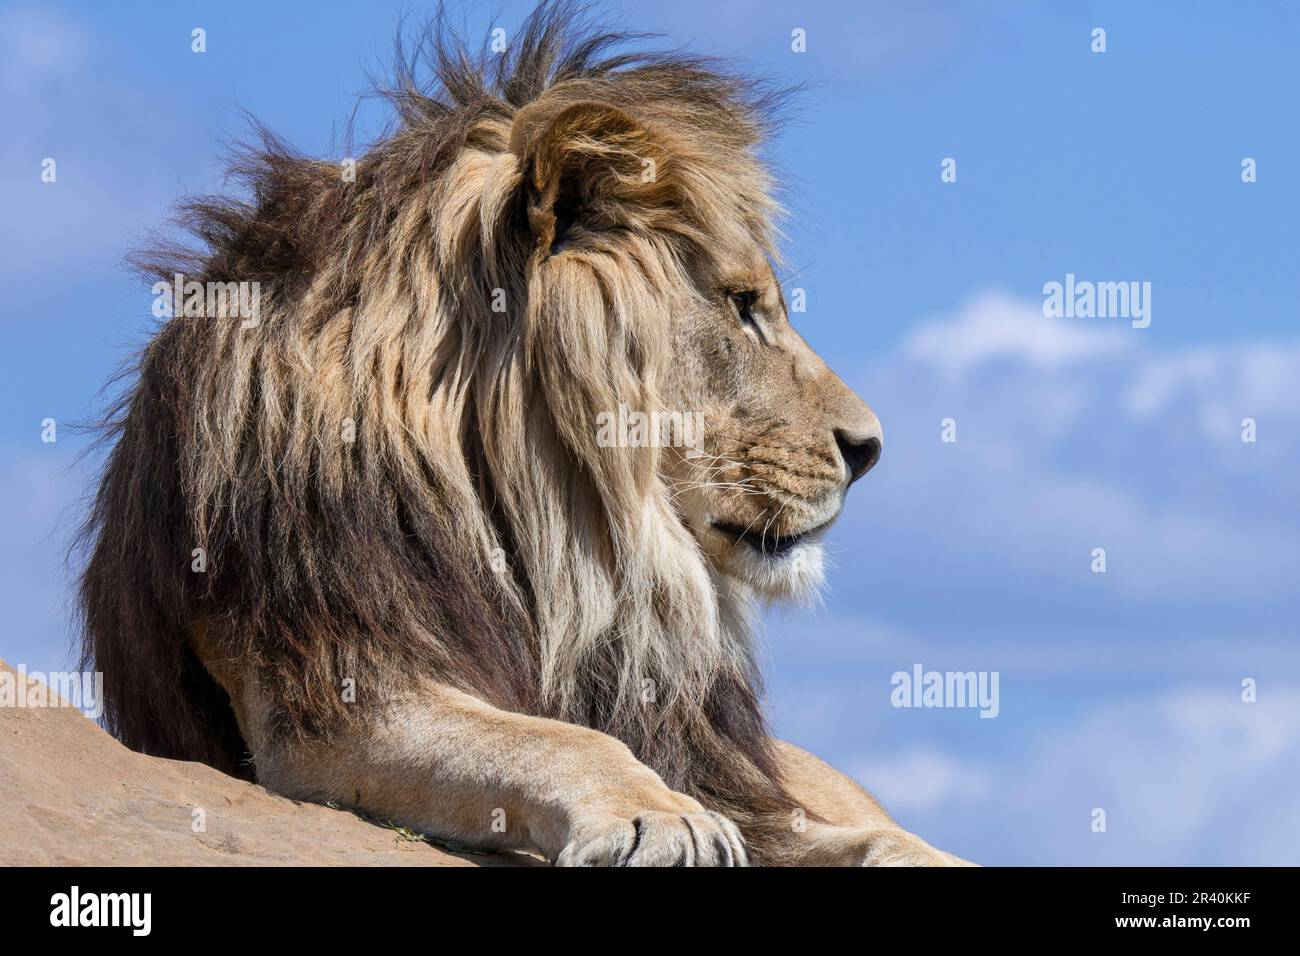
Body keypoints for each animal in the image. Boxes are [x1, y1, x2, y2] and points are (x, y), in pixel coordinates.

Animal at [71, 0, 967, 868]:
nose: (869, 449)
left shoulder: (718, 758)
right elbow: (556, 740)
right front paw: (659, 816)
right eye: (743, 305)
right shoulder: (336, 692)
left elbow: (854, 834)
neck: (560, 529)